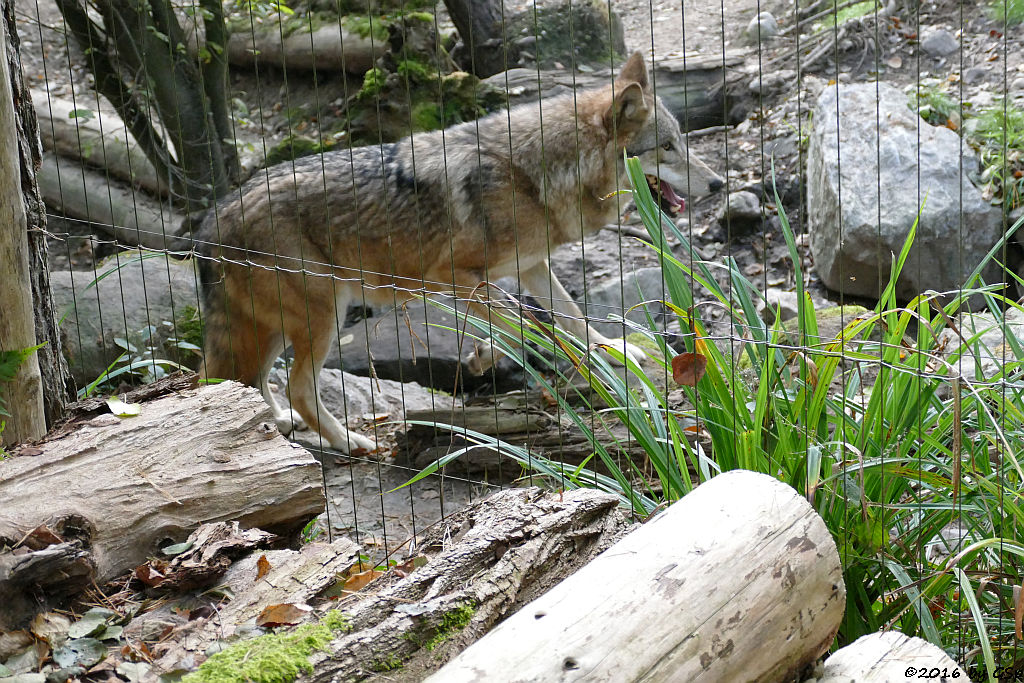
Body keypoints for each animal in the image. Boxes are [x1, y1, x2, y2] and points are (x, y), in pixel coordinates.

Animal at [195, 53, 724, 454]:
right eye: (667, 147)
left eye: (681, 142)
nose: (719, 183)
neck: (534, 173)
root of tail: (210, 220)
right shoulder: (450, 276)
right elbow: (530, 326)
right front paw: (492, 356)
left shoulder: (532, 265)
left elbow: (571, 317)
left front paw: (613, 350)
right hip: (323, 315)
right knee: (295, 386)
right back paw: (350, 443)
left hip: (276, 328)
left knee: (242, 381)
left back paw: (278, 427)